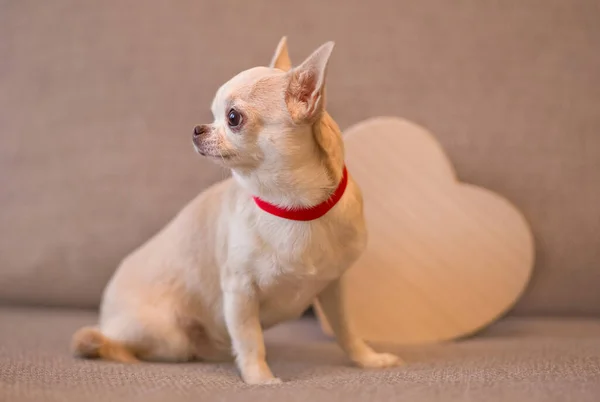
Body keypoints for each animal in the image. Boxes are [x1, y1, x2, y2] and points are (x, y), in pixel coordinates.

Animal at [72, 38, 400, 386]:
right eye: (214, 114)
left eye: (232, 117)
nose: (197, 128)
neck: (293, 207)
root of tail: (105, 311)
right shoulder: (240, 292)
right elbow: (250, 339)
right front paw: (260, 379)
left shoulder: (333, 288)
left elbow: (346, 331)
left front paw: (369, 359)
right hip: (168, 336)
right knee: (105, 341)